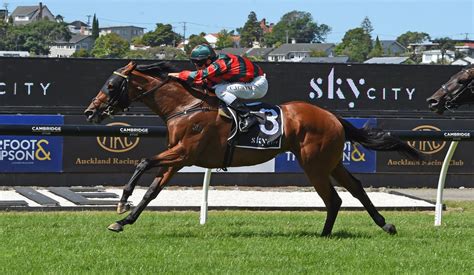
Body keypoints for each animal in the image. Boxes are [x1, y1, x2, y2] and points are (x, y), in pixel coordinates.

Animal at [84, 61, 418, 236]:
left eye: (111, 85)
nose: (90, 112)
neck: (186, 106)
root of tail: (332, 116)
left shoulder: (185, 152)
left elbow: (142, 162)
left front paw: (122, 201)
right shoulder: (176, 158)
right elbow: (152, 191)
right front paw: (122, 221)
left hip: (314, 163)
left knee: (334, 198)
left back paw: (325, 235)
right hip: (330, 161)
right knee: (356, 188)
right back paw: (384, 225)